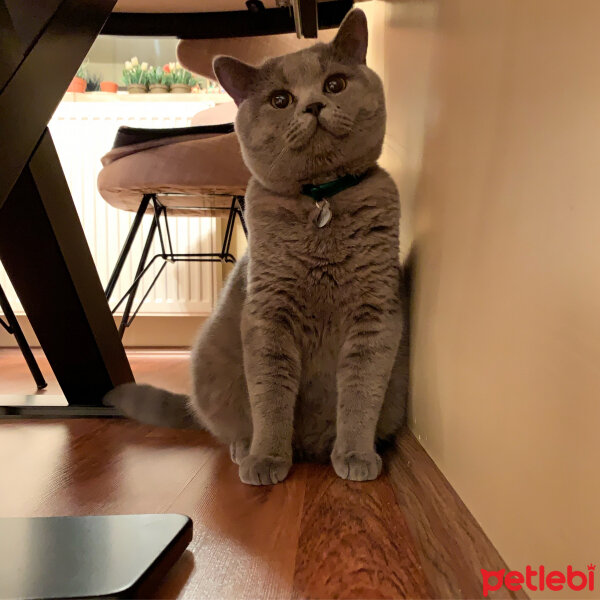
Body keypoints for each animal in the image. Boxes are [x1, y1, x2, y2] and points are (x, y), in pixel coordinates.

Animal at [105, 9, 410, 486]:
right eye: (280, 100)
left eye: (335, 84)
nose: (313, 105)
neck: (320, 199)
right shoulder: (268, 316)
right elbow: (270, 399)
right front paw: (267, 459)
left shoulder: (375, 313)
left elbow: (360, 394)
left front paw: (355, 454)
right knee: (233, 424)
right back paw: (243, 449)